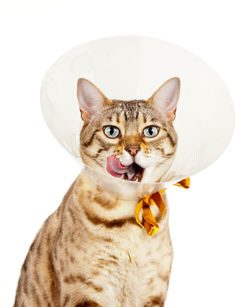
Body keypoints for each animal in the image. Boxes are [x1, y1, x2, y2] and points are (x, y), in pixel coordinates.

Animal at [14, 76, 180, 306]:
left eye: (150, 131)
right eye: (111, 131)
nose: (133, 149)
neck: (129, 221)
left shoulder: (153, 290)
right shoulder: (85, 291)